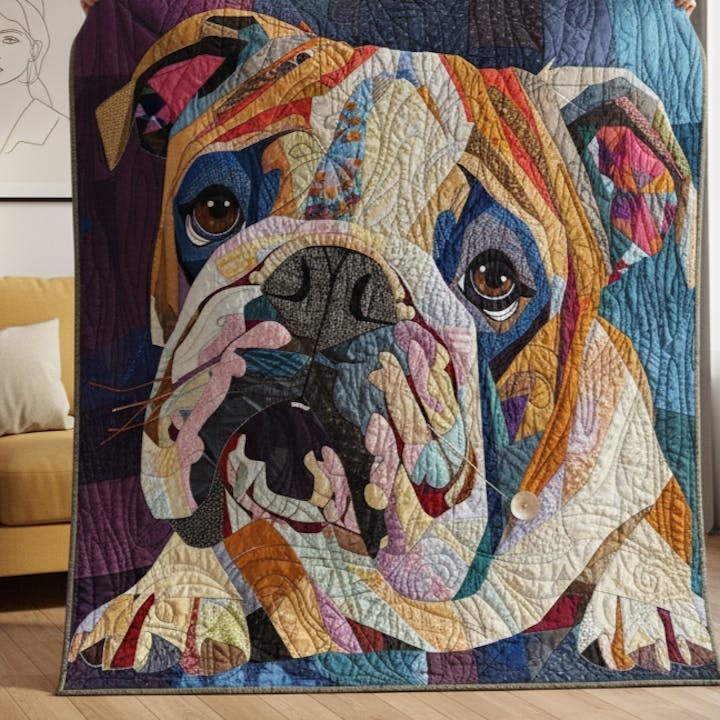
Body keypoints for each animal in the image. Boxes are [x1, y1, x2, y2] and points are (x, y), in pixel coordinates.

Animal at [69, 9, 712, 679]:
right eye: (215, 210)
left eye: (495, 279)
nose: (331, 278)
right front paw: (170, 594)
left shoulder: (637, 466)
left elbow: (650, 527)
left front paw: (651, 608)